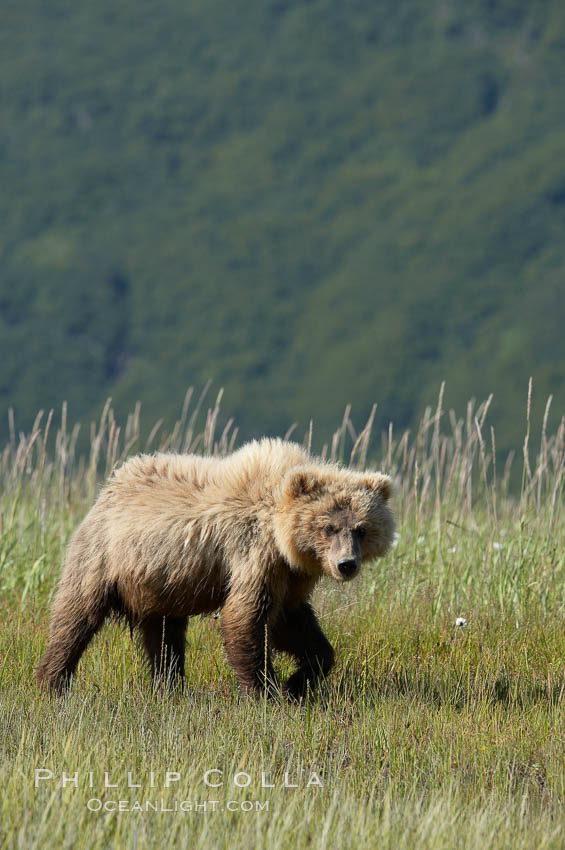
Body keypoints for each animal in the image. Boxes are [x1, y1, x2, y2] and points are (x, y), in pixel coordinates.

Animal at [37, 438, 394, 696]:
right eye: (328, 528)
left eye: (361, 528)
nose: (346, 564)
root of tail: (109, 487)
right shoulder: (253, 554)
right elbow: (246, 616)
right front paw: (265, 690)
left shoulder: (291, 576)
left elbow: (293, 623)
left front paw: (298, 681)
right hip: (105, 556)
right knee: (76, 617)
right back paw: (52, 682)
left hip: (160, 582)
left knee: (164, 635)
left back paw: (169, 686)